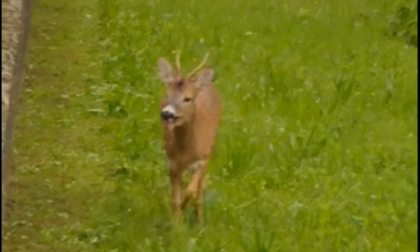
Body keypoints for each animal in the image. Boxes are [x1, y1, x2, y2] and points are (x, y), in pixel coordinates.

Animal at [158, 51, 221, 224]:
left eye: (187, 98)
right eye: (167, 94)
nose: (166, 114)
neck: (185, 152)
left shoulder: (202, 160)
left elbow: (191, 191)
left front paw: (185, 210)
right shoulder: (172, 162)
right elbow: (175, 199)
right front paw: (176, 225)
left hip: (209, 152)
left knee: (200, 188)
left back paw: (200, 220)